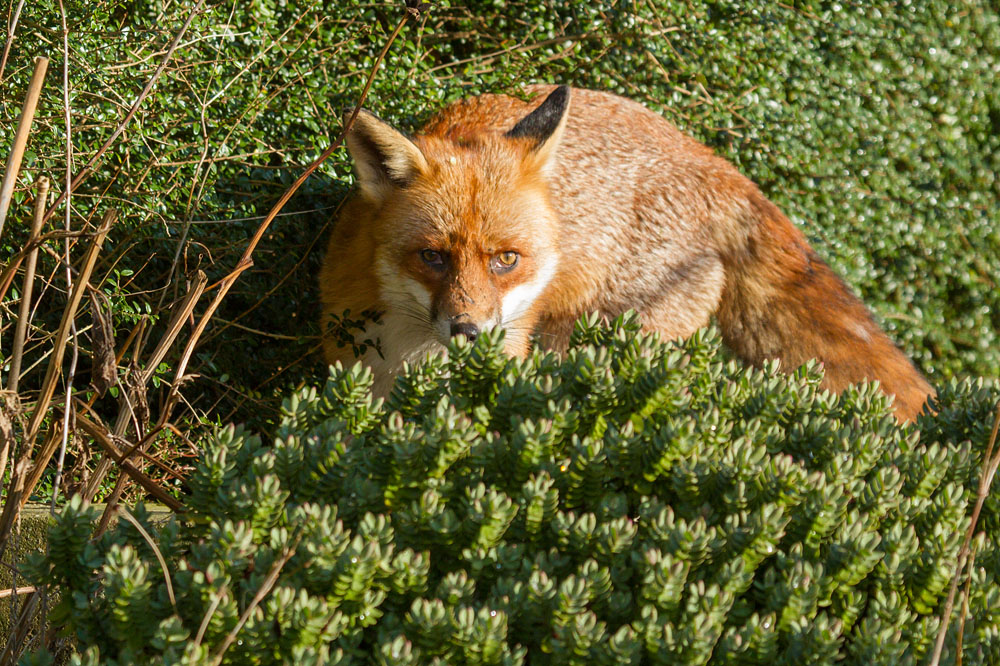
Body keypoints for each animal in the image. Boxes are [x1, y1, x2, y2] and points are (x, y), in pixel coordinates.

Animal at [319, 85, 934, 421]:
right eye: (433, 258)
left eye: (506, 260)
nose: (470, 331)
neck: (411, 353)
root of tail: (717, 165)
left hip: (603, 338)